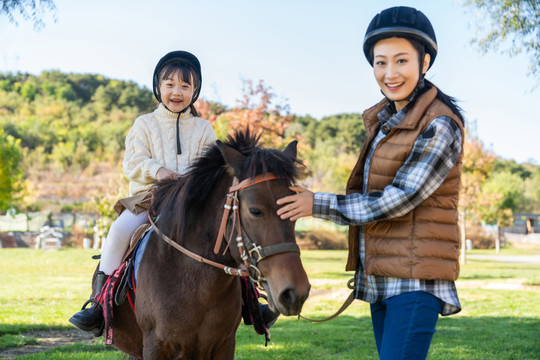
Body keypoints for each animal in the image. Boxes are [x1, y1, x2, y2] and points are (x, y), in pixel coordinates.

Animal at [99, 130, 310, 360]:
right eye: (255, 211)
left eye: (294, 209)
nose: (295, 292)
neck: (196, 286)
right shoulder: (155, 346)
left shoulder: (225, 344)